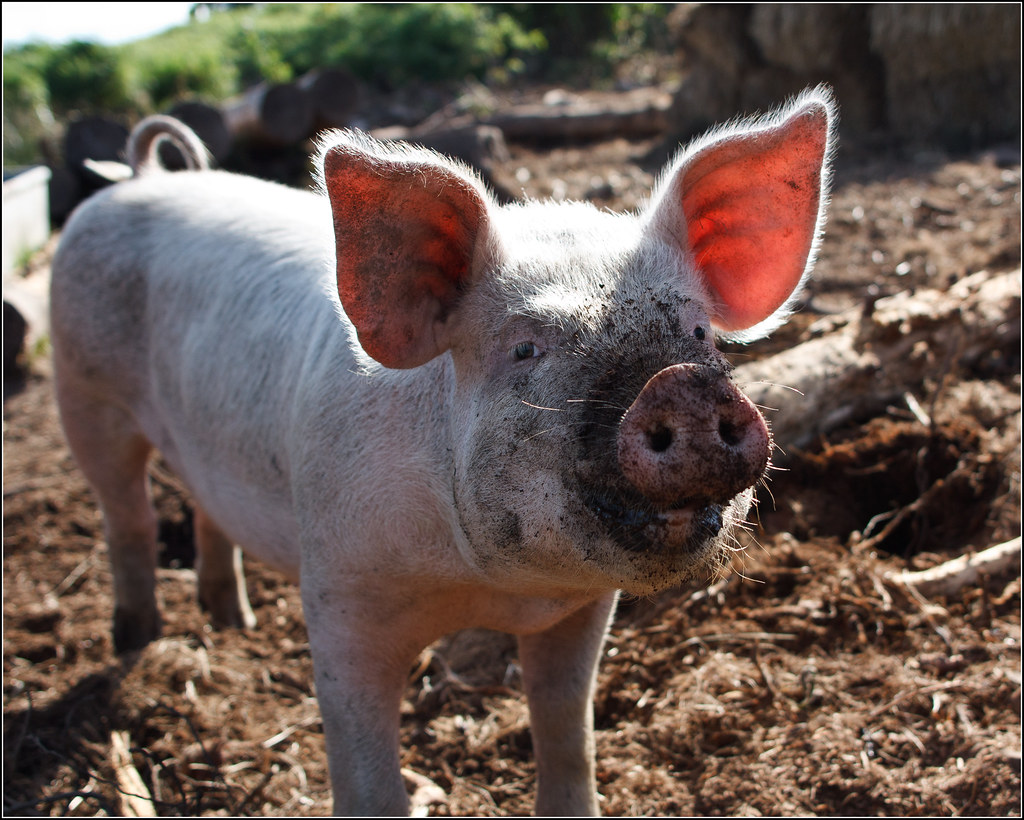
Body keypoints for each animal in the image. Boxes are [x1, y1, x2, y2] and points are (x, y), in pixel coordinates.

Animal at [50, 86, 835, 815]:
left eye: (699, 333)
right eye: (525, 348)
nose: (681, 385)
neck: (488, 587)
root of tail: (135, 179)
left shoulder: (584, 608)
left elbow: (566, 729)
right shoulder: (338, 593)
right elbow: (366, 777)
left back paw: (230, 621)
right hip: (82, 390)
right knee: (127, 516)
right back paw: (136, 641)